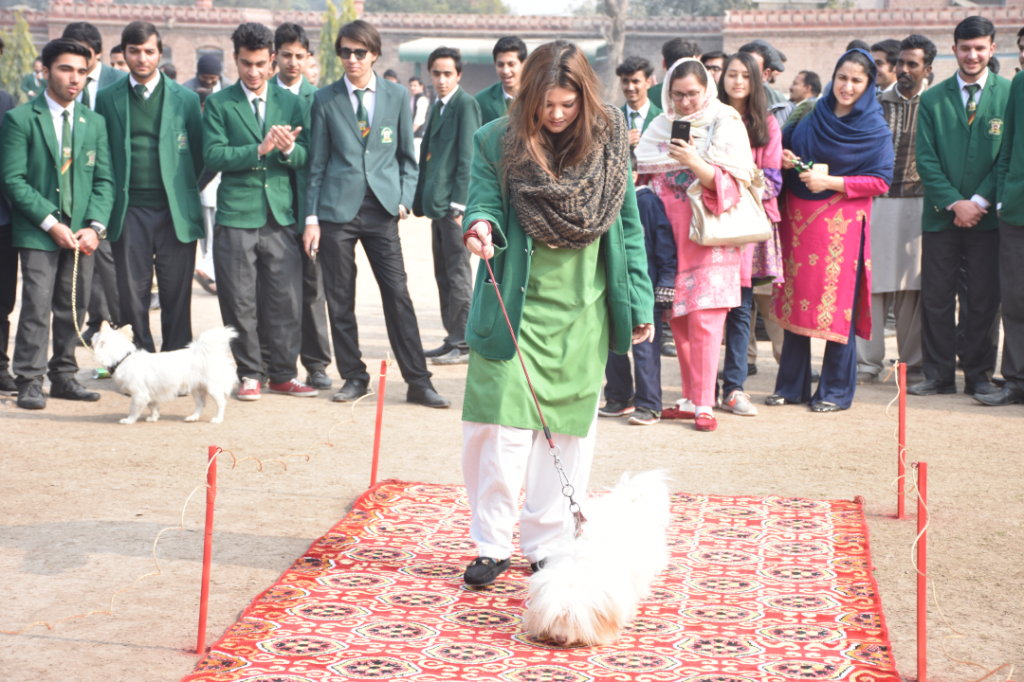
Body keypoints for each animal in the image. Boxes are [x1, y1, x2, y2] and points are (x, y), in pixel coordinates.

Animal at [91, 322, 238, 425]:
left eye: (95, 335)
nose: (91, 336)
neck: (123, 358)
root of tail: (205, 353)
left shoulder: (139, 395)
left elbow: (133, 409)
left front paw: (129, 420)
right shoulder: (150, 394)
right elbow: (153, 407)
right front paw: (153, 418)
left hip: (212, 388)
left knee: (221, 403)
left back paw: (217, 419)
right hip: (196, 388)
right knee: (201, 403)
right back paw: (193, 417)